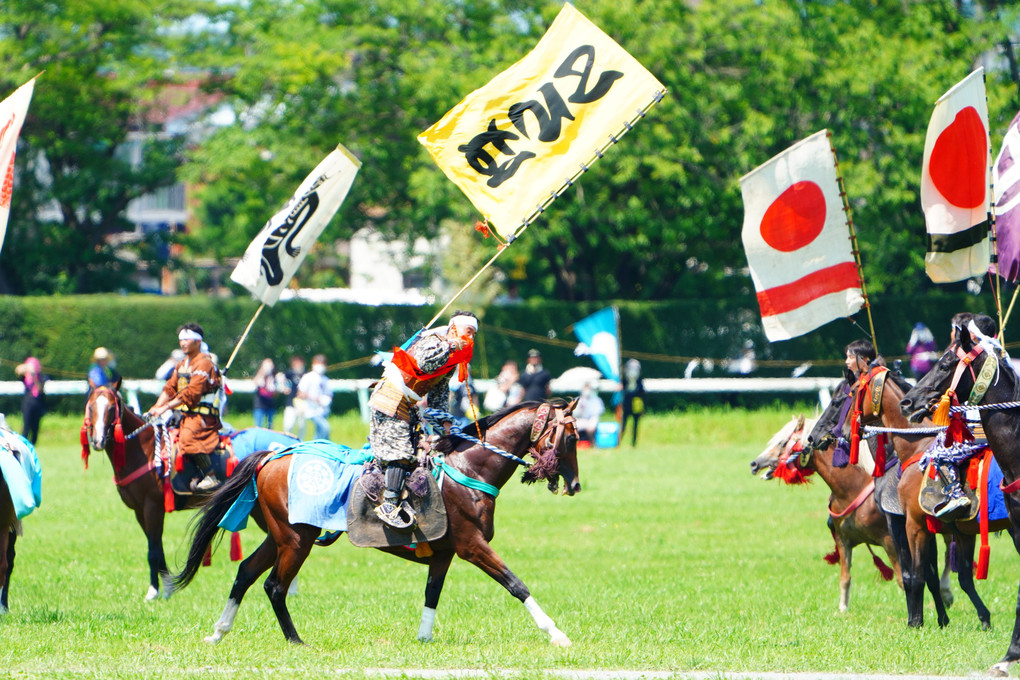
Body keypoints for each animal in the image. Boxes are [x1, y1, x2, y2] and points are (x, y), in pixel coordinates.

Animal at [171, 401, 579, 648]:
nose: (575, 485)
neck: (468, 470)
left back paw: (219, 632)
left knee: (245, 572)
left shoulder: (444, 553)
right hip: (296, 539)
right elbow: (515, 584)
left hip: (279, 537)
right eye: (572, 436)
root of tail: (272, 456)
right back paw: (295, 641)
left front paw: (424, 639)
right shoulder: (472, 546)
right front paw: (555, 632)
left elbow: (432, 594)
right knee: (274, 586)